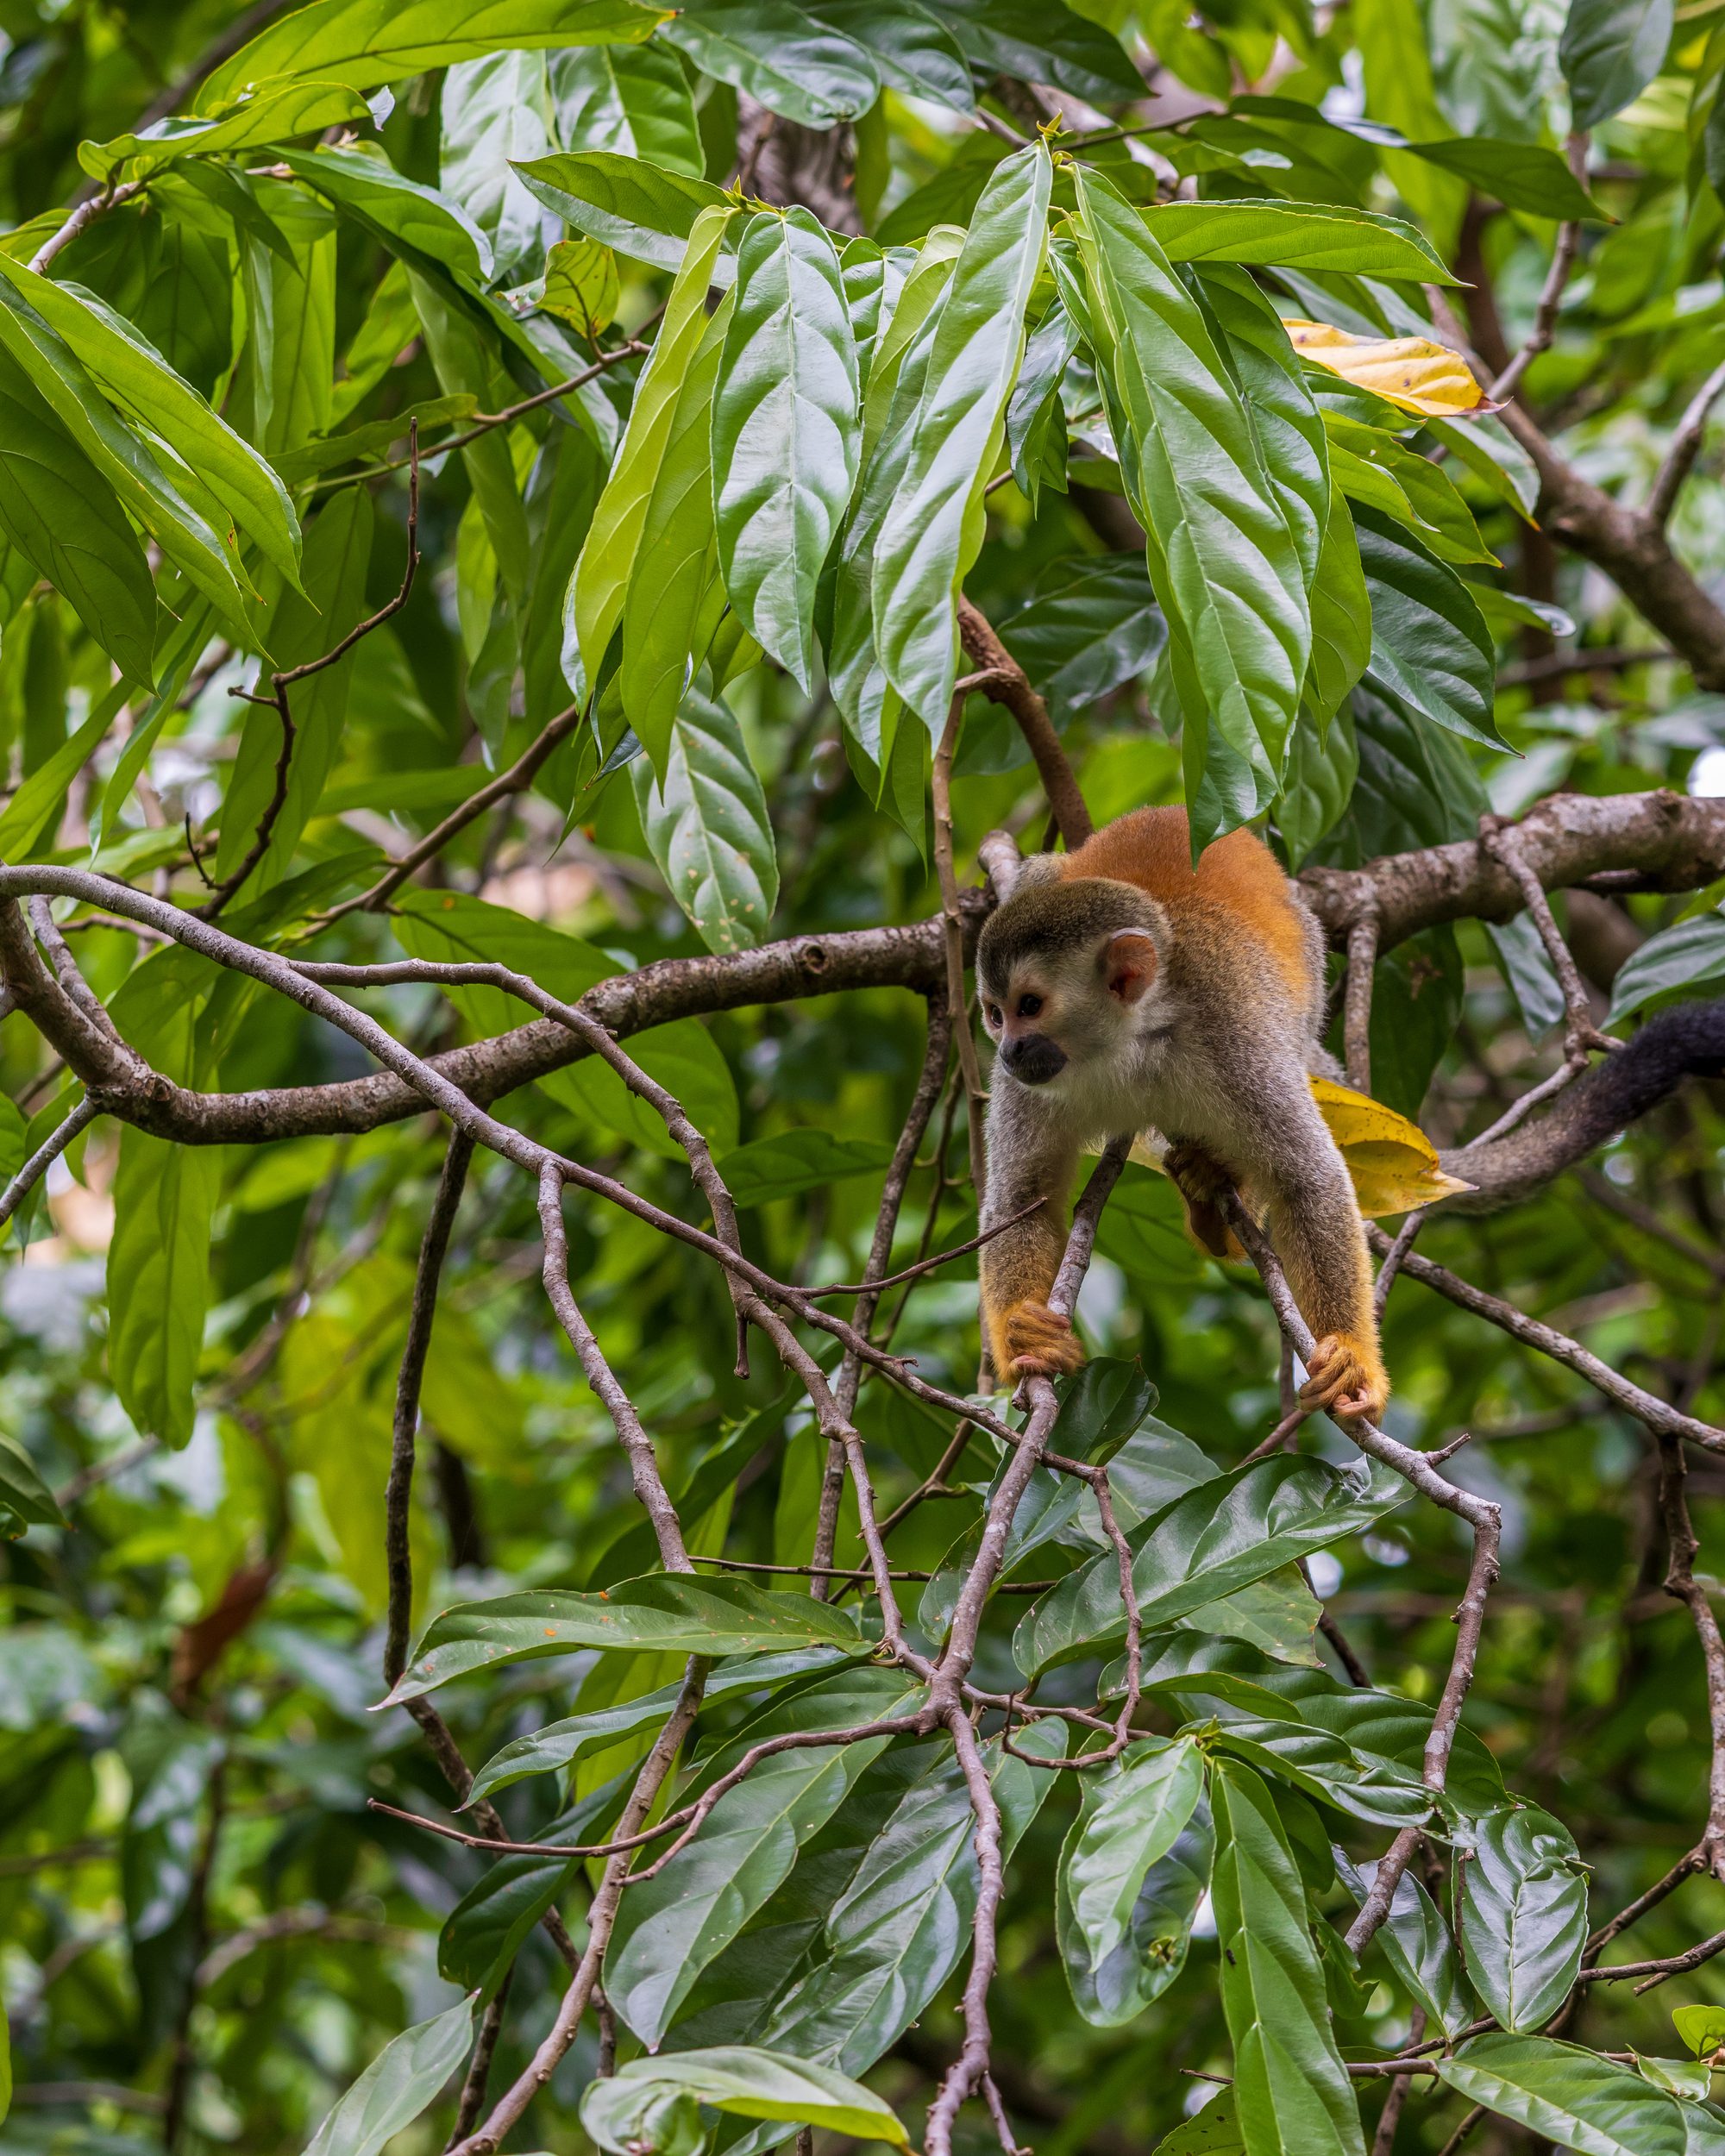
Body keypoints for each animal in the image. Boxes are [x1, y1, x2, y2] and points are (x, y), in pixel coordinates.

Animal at [975, 805, 1387, 1424]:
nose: (1008, 1051)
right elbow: (1023, 1193)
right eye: (995, 1014)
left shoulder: (1233, 1032)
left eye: (1030, 1006)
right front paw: (1024, 1335)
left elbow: (1306, 1177)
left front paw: (1353, 1358)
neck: (1130, 1041)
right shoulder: (1032, 1084)